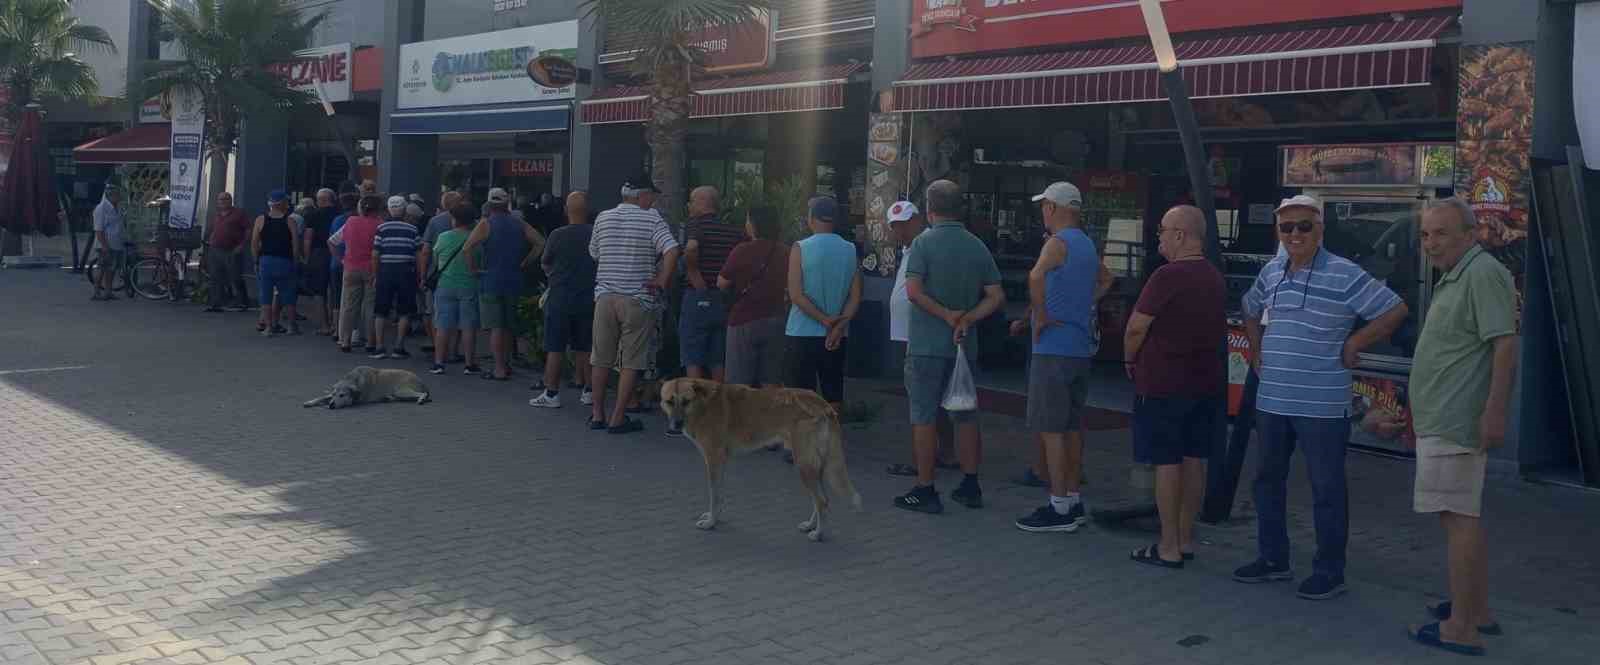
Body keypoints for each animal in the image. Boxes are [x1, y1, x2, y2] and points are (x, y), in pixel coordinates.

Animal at [302, 366, 432, 407]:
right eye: (334, 394)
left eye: (342, 395)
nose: (331, 405)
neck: (353, 379)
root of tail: (422, 382)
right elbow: (322, 397)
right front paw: (310, 402)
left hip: (401, 391)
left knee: (422, 394)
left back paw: (421, 399)